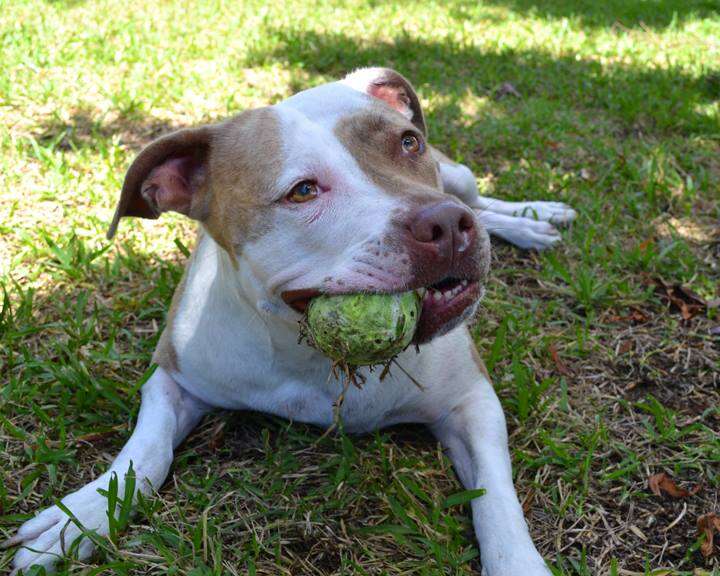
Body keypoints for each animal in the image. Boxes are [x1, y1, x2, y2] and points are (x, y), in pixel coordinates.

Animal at [0, 70, 572, 572]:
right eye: (302, 191)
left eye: (408, 144)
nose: (448, 224)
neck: (312, 355)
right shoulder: (172, 376)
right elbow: (146, 450)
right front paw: (82, 514)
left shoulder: (471, 400)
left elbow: (497, 499)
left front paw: (519, 564)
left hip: (459, 176)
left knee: (483, 198)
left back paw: (533, 217)